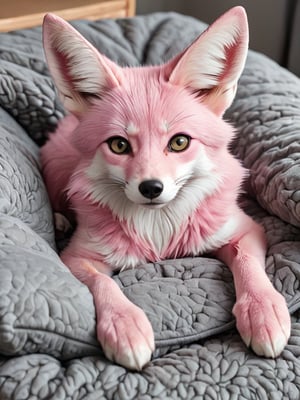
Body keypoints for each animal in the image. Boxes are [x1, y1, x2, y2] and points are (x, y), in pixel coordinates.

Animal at [40, 6, 290, 370]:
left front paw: (263, 309)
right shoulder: (76, 257)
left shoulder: (245, 229)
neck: (160, 232)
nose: (151, 188)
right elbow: (104, 284)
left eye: (179, 142)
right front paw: (125, 323)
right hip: (59, 172)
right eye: (118, 145)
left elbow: (249, 268)